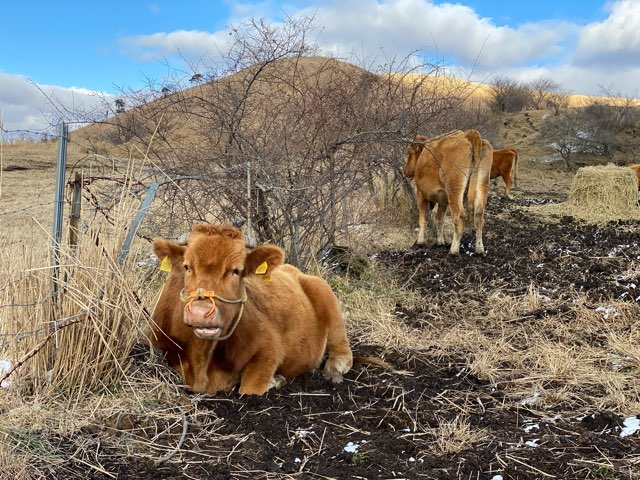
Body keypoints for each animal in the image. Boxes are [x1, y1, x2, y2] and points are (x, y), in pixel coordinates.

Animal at [149, 223, 356, 396]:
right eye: (187, 267)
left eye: (236, 270)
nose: (200, 312)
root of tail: (292, 269)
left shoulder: (269, 348)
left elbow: (249, 389)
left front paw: (275, 380)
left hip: (324, 291)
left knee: (341, 345)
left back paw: (334, 367)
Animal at [402, 127, 492, 255]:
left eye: (409, 152)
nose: (405, 172)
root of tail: (468, 135)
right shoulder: (443, 201)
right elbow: (439, 219)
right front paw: (440, 242)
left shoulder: (421, 195)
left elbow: (423, 219)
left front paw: (419, 241)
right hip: (482, 184)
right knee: (479, 216)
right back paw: (479, 249)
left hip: (454, 190)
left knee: (459, 217)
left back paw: (453, 250)